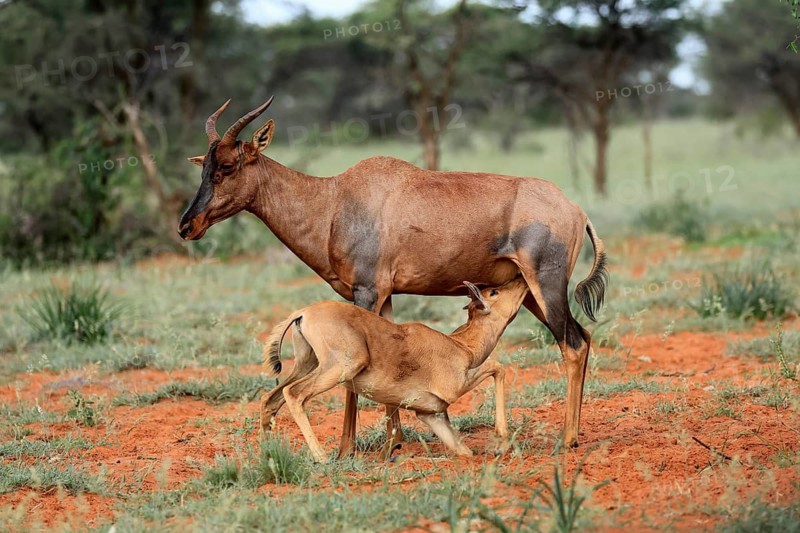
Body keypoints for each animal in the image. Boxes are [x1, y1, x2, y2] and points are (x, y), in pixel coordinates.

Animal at [260, 278, 529, 463]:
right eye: (493, 291)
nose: (521, 280)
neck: (460, 344)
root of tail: (303, 313)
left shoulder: (431, 414)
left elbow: (465, 452)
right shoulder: (455, 387)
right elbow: (496, 366)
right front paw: (501, 442)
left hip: (308, 364)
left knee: (270, 398)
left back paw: (269, 454)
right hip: (342, 367)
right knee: (294, 394)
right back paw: (322, 458)